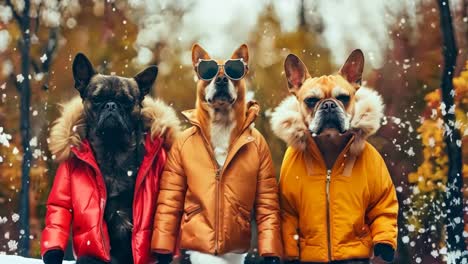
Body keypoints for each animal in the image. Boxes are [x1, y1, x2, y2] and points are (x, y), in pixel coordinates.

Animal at [152, 43, 282, 264]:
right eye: (209, 73)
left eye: (233, 72)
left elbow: (267, 205)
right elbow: (170, 202)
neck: (221, 124)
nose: (221, 79)